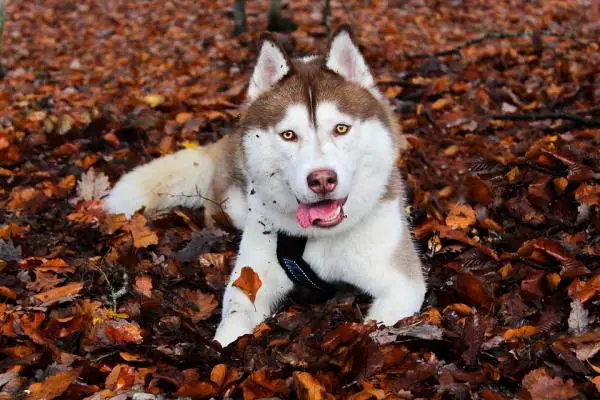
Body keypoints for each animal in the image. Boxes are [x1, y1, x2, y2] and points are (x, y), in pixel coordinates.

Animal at [108, 27, 426, 346]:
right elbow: (233, 321)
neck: (319, 237)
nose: (322, 179)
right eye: (289, 135)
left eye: (341, 128)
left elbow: (380, 324)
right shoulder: (250, 279)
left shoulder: (402, 282)